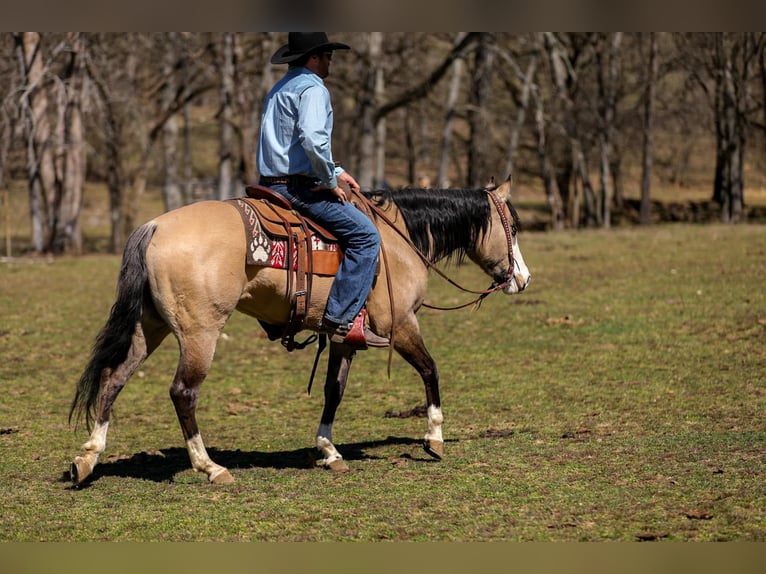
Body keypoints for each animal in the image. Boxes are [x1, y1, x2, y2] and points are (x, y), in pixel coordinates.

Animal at [69, 177, 532, 486]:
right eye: (513, 226)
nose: (523, 279)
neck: (398, 240)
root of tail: (154, 228)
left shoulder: (345, 336)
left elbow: (334, 391)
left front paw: (328, 450)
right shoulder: (401, 325)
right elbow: (430, 369)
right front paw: (434, 437)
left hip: (150, 326)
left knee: (113, 378)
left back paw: (87, 459)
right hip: (200, 332)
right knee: (183, 392)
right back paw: (211, 467)